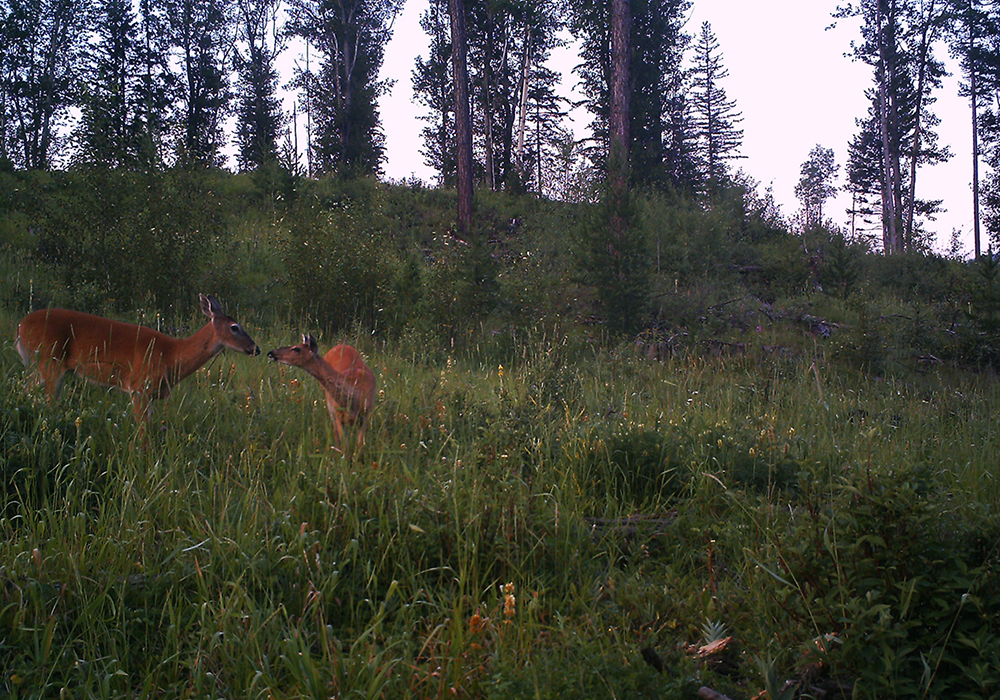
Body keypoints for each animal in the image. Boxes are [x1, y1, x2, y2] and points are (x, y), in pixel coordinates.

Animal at [15, 294, 260, 433]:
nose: (256, 348)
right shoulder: (138, 386)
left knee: (26, 391)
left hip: (44, 366)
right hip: (50, 362)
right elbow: (142, 434)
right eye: (235, 327)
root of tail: (21, 326)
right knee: (45, 402)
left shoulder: (151, 394)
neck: (171, 356)